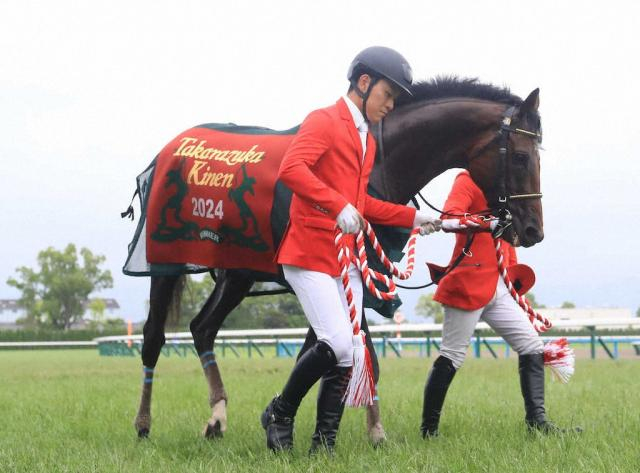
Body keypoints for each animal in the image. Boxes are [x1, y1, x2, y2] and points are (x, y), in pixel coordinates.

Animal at [127, 77, 544, 441]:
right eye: (521, 157)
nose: (532, 231)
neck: (378, 166)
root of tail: (167, 152)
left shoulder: (348, 278)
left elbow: (327, 350)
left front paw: (305, 421)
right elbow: (360, 352)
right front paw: (372, 430)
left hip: (237, 273)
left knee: (203, 328)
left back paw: (216, 418)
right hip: (166, 265)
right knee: (153, 337)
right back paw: (143, 423)